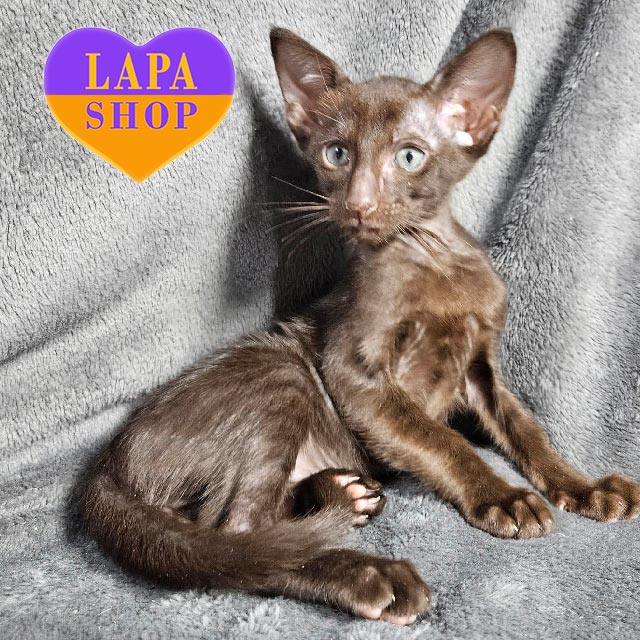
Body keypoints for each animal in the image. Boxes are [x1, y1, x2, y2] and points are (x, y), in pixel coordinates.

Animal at [83, 27, 640, 625]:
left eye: (410, 156)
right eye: (337, 154)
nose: (357, 204)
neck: (434, 259)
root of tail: (106, 465)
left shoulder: (480, 368)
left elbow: (528, 432)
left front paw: (585, 488)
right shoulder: (355, 373)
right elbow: (441, 439)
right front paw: (503, 497)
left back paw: (341, 495)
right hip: (282, 370)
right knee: (238, 536)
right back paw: (370, 575)